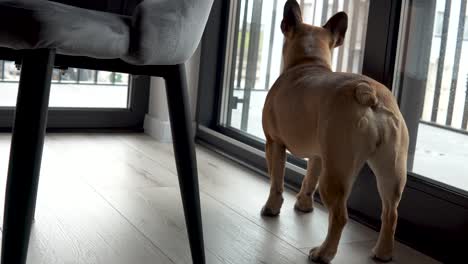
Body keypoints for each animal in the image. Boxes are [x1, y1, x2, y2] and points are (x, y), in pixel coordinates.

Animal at [262, 1, 408, 262]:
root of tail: (367, 92)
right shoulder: (319, 155)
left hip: (336, 172)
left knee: (339, 216)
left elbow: (276, 181)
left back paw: (323, 253)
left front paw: (271, 208)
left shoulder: (274, 143)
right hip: (391, 169)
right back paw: (382, 253)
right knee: (391, 213)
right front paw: (303, 205)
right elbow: (309, 178)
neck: (308, 61)